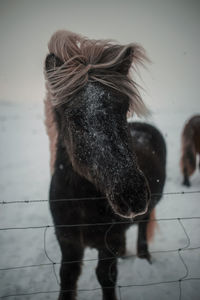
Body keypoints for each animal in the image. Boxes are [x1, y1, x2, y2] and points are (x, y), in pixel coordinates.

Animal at [44, 29, 166, 300]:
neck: (82, 204)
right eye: (74, 119)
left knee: (142, 228)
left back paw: (145, 257)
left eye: (124, 108)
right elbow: (67, 278)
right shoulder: (68, 243)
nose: (132, 195)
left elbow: (106, 277)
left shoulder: (108, 243)